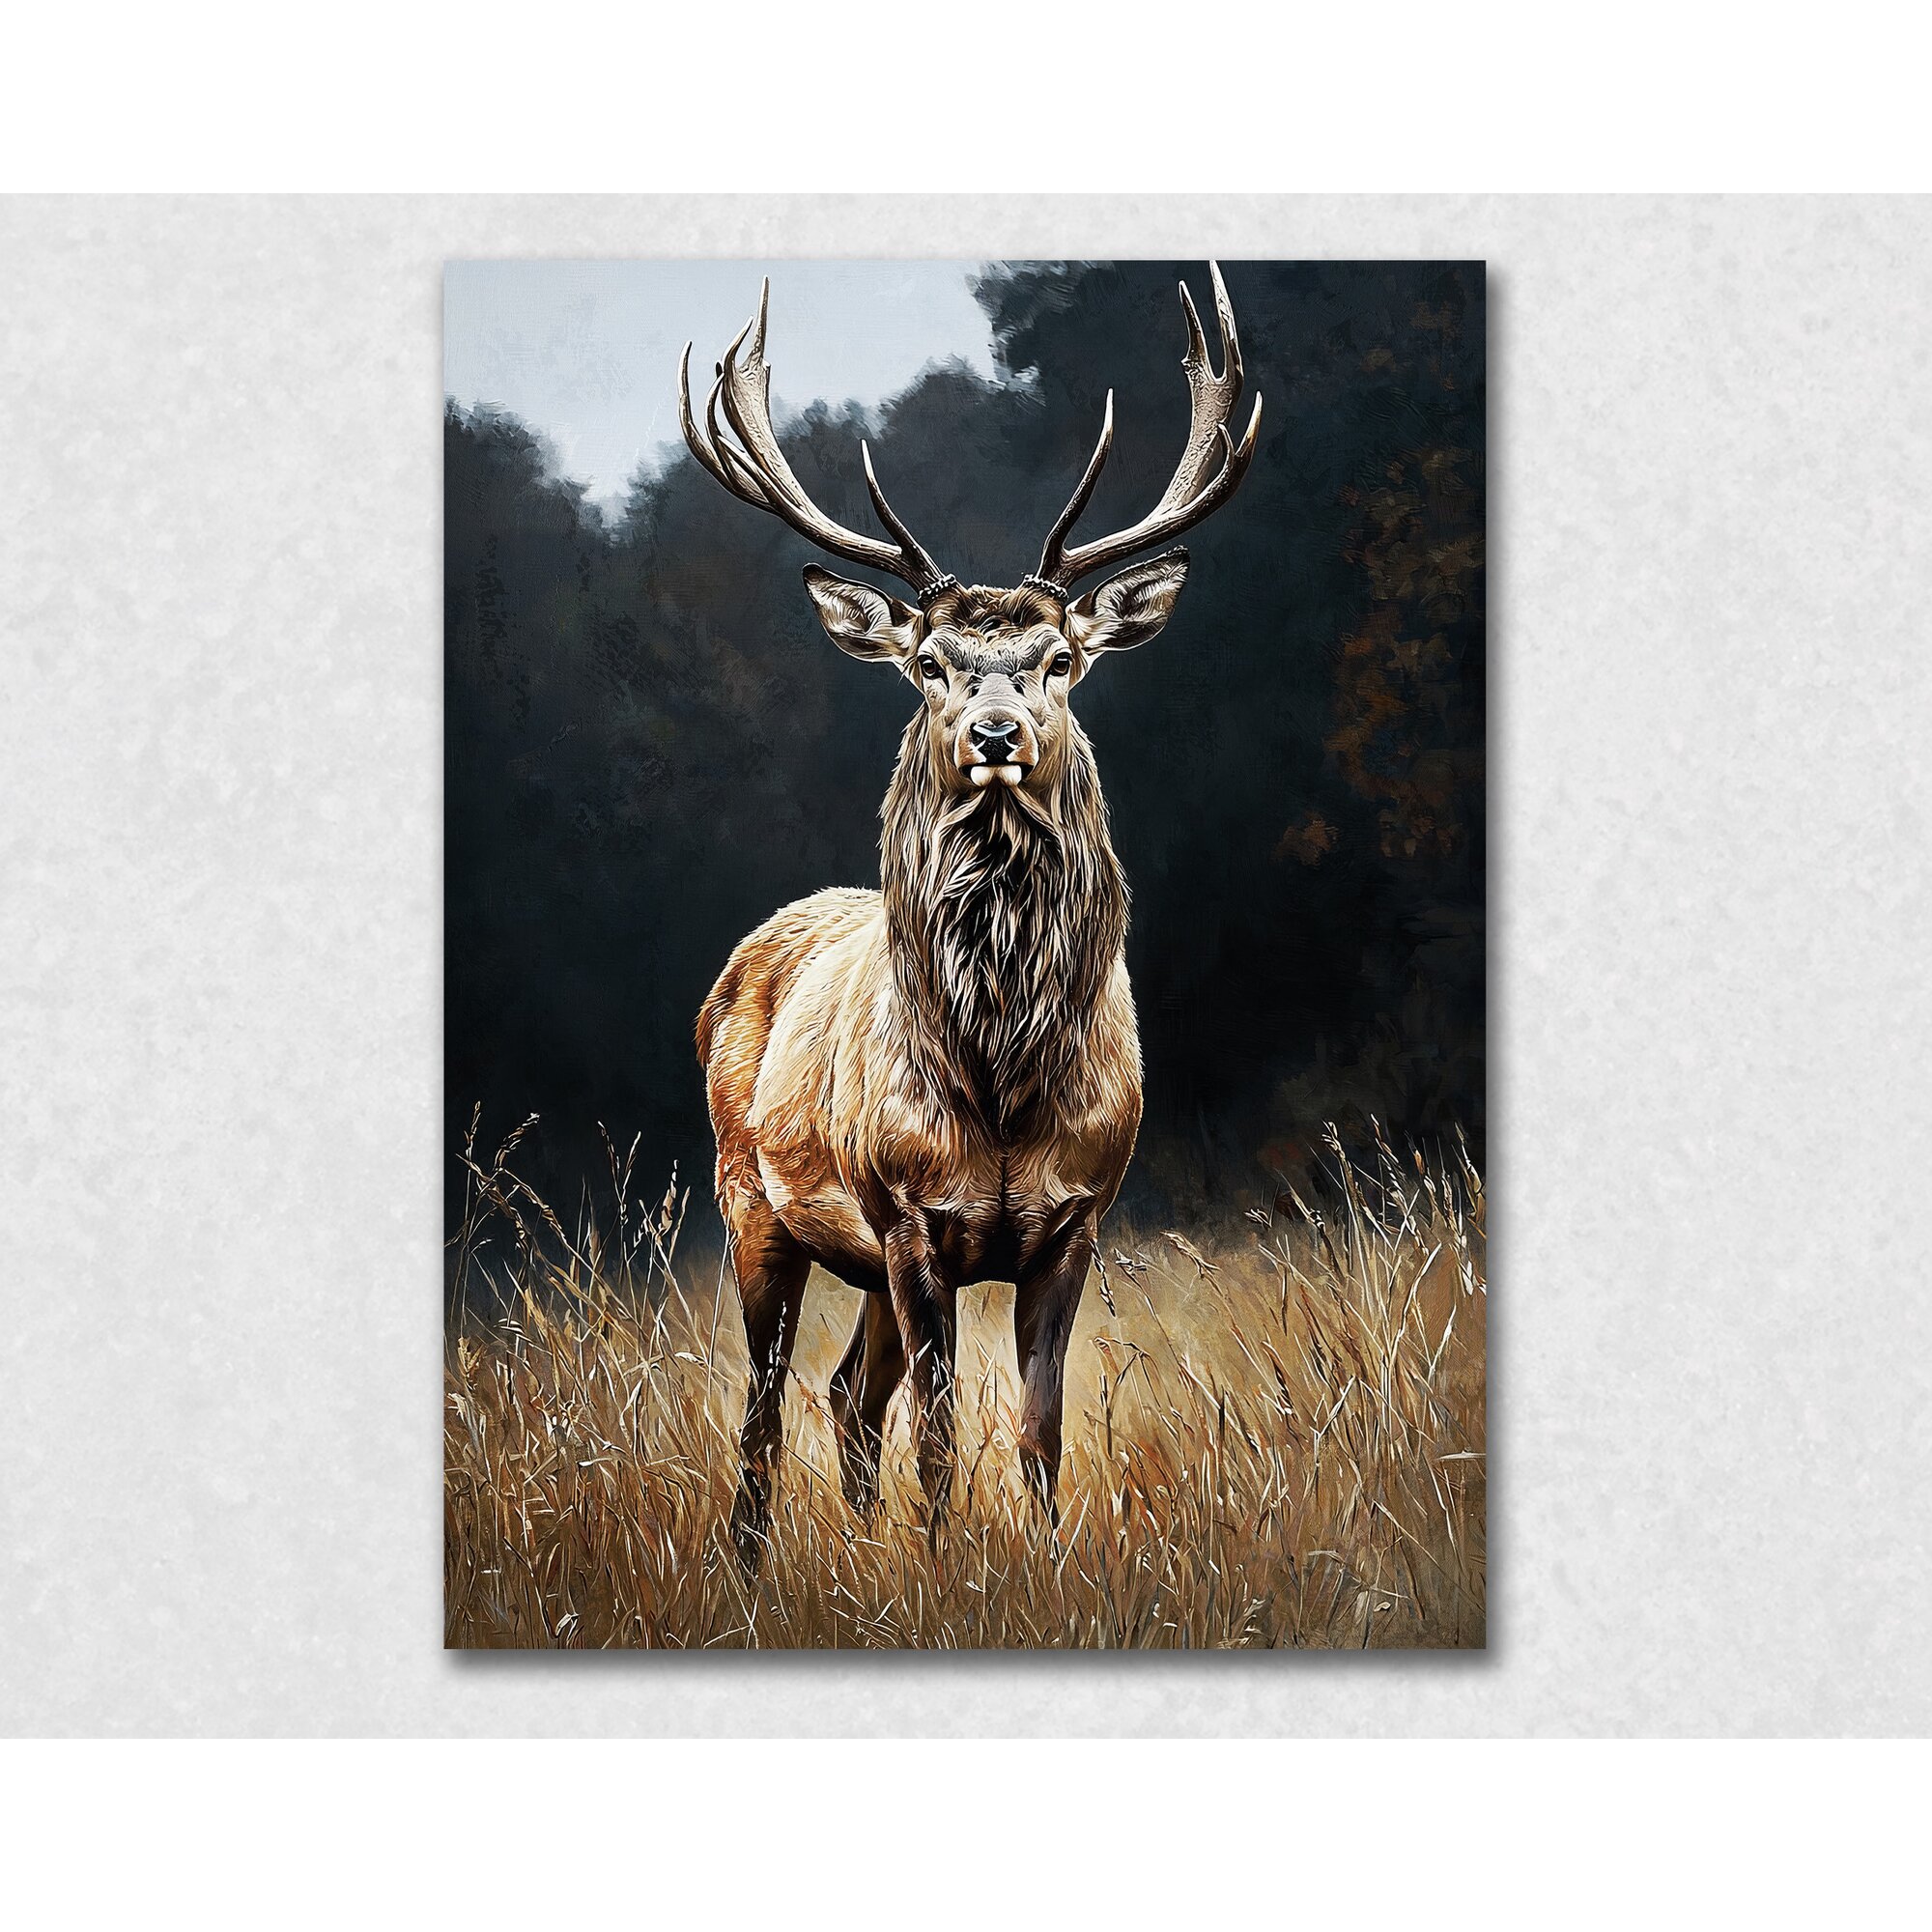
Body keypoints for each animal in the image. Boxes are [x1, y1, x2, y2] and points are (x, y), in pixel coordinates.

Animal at [683, 265, 1263, 1571]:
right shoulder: (907, 1214)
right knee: (766, 1403)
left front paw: (1032, 1566)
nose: (995, 734)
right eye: (930, 663)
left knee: (848, 1395)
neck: (1000, 1082)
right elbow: (943, 1436)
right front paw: (944, 1568)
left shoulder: (1074, 1218)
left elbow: (1036, 1430)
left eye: (1059, 659)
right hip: (754, 1199)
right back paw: (746, 1566)